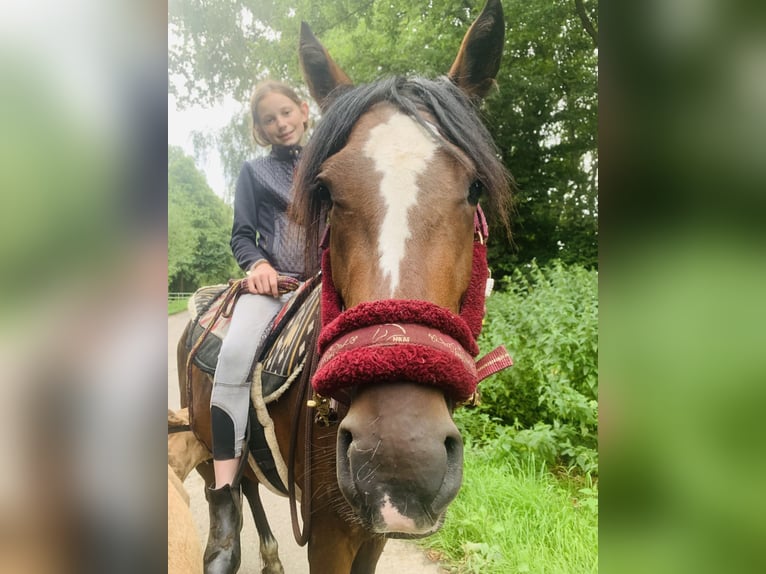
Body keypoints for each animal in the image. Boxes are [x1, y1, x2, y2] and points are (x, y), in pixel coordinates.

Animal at [180, 2, 512, 572]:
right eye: (328, 192)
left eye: (474, 188)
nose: (400, 459)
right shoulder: (329, 532)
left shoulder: (372, 532)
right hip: (205, 445)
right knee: (228, 490)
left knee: (250, 485)